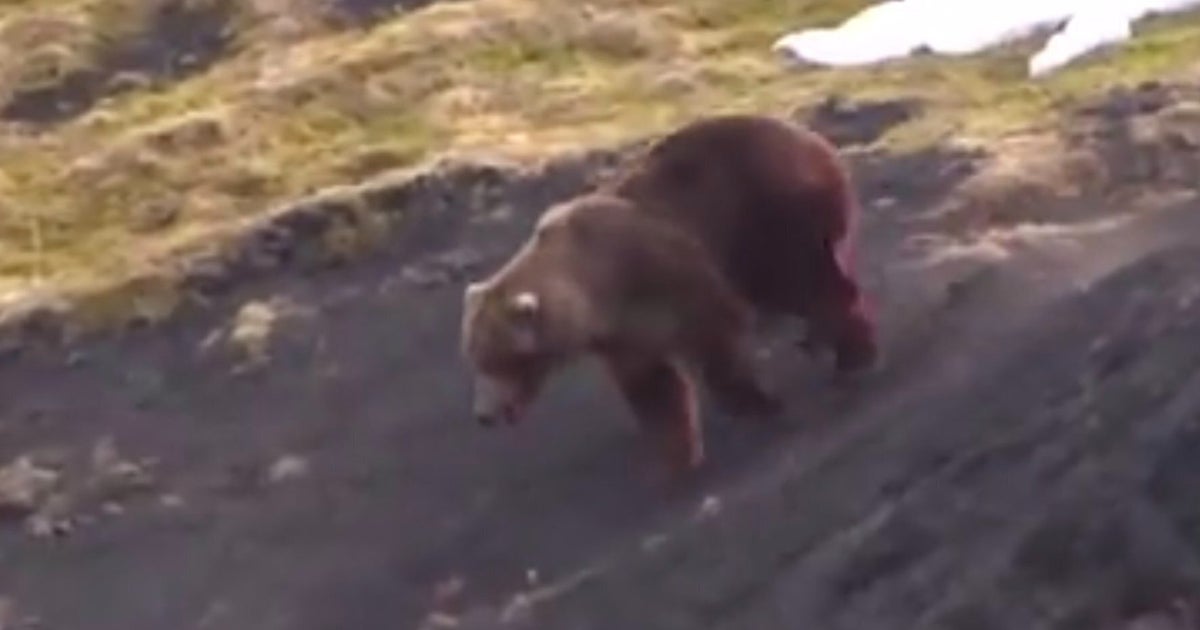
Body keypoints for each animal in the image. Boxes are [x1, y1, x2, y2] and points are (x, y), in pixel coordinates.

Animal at [460, 113, 878, 476]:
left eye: (499, 360)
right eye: (475, 358)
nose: (483, 416)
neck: (598, 285)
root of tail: (809, 136)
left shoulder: (664, 271)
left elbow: (715, 333)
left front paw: (756, 402)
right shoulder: (622, 334)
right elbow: (654, 387)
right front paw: (677, 456)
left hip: (767, 213)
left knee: (804, 279)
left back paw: (852, 353)